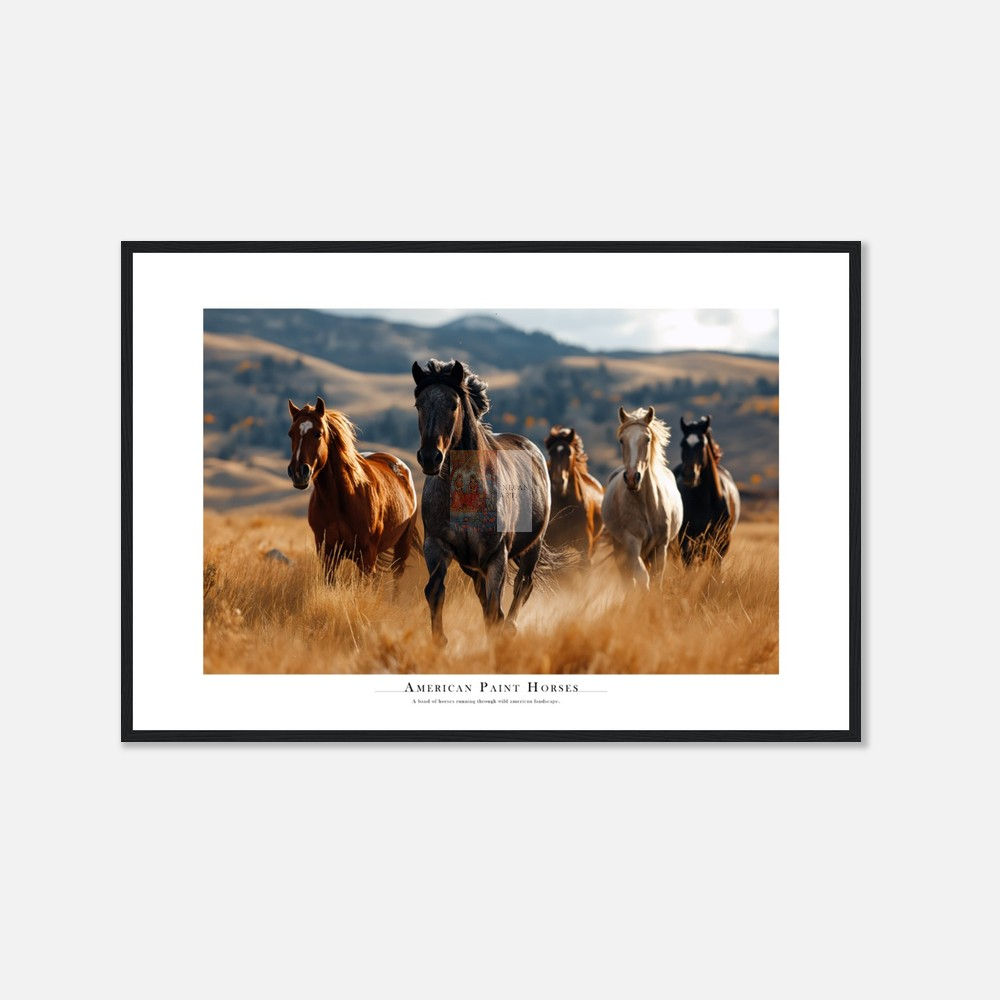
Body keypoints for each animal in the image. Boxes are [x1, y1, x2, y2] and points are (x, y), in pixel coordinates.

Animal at [286, 397, 419, 583]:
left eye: (318, 433)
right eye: (291, 434)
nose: (298, 472)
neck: (341, 500)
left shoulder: (367, 556)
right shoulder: (327, 554)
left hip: (401, 547)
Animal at [412, 359, 550, 643]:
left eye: (453, 404)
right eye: (419, 404)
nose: (430, 458)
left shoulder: (496, 555)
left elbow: (495, 607)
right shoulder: (437, 546)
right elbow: (435, 591)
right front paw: (439, 641)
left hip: (532, 548)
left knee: (523, 585)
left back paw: (511, 626)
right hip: (473, 565)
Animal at [601, 406, 684, 589]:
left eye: (647, 439)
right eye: (622, 440)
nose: (632, 478)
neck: (648, 505)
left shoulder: (660, 547)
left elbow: (656, 580)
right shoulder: (632, 544)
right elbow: (641, 578)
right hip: (619, 548)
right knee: (627, 579)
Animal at [673, 414, 741, 565]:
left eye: (702, 444)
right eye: (682, 444)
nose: (689, 475)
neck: (705, 501)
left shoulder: (722, 544)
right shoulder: (686, 541)